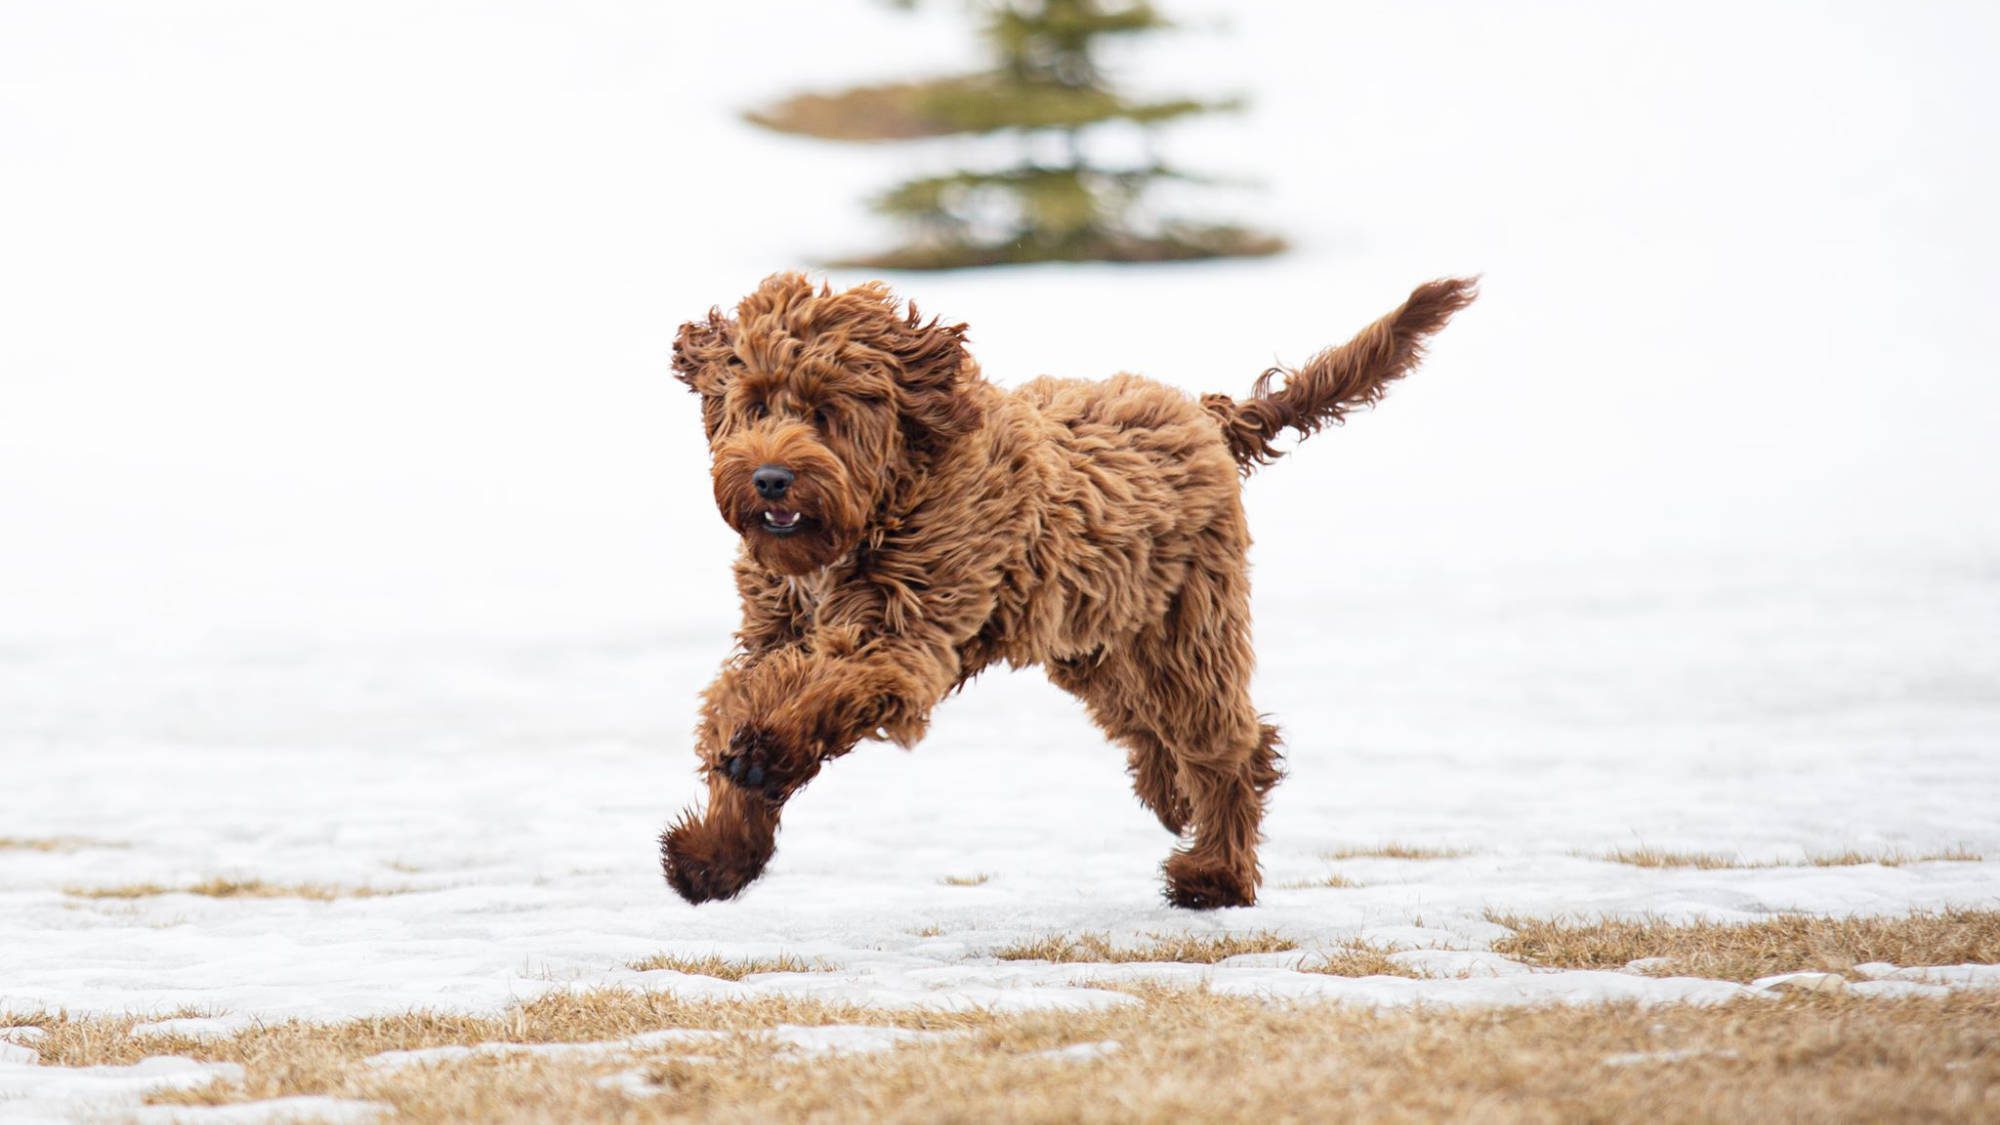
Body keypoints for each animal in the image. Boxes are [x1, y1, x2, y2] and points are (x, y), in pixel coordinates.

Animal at [656, 274, 1472, 912]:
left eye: (825, 408)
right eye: (754, 403)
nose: (770, 479)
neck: (883, 502)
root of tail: (1205, 414)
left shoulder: (906, 633)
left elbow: (823, 687)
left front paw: (764, 752)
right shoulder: (773, 630)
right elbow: (736, 697)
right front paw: (716, 854)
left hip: (1188, 630)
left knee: (1227, 746)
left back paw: (1215, 873)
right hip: (1095, 641)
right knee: (1157, 729)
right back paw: (1173, 798)